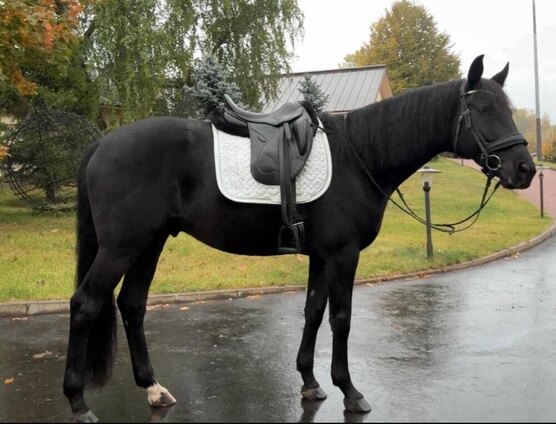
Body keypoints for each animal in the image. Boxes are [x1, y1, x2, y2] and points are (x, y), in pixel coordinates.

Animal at [63, 55, 536, 422]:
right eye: (483, 108)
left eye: (507, 108)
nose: (526, 169)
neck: (360, 157)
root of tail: (102, 143)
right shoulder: (343, 255)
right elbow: (341, 319)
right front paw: (350, 392)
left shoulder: (320, 256)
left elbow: (312, 312)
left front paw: (310, 382)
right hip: (121, 247)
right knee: (85, 305)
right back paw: (78, 403)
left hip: (150, 243)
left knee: (132, 305)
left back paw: (154, 389)